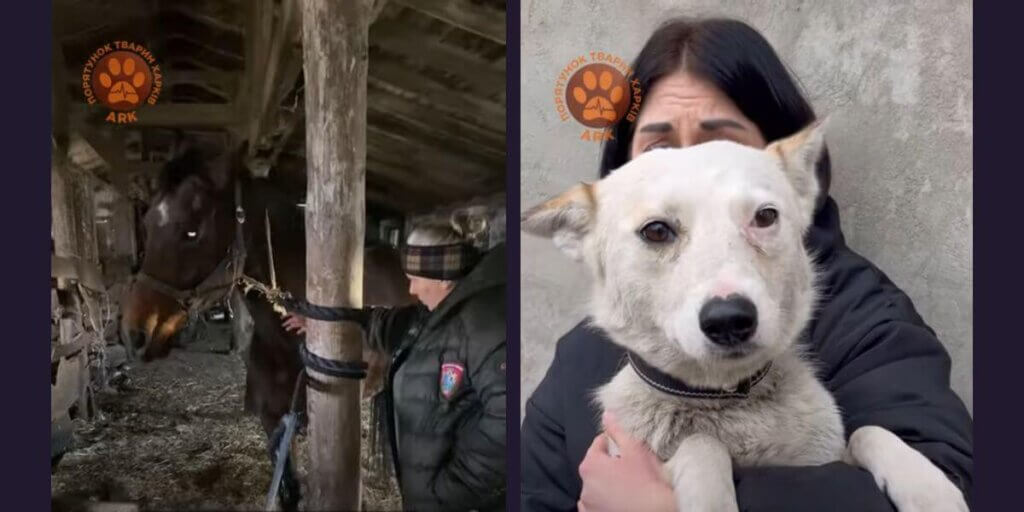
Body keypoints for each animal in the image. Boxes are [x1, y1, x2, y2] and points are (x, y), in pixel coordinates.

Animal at [119, 146, 407, 509]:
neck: (290, 340)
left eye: (192, 231)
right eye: (145, 224)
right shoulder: (276, 425)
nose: (133, 334)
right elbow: (288, 492)